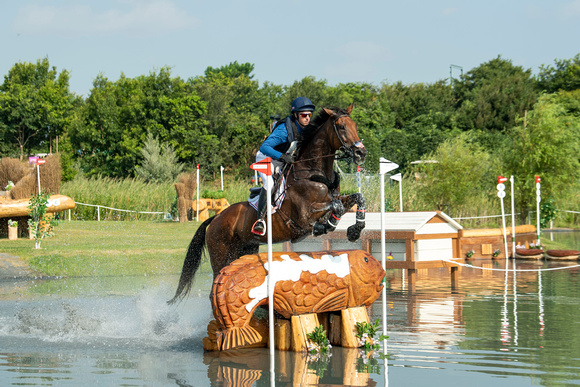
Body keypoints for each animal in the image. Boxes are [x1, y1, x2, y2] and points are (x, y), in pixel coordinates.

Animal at [168, 104, 368, 304]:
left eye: (356, 126)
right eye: (342, 127)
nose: (361, 153)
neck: (312, 171)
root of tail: (216, 218)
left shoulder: (336, 198)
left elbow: (356, 198)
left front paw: (354, 230)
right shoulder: (303, 217)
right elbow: (335, 207)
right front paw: (326, 226)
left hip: (244, 250)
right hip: (221, 255)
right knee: (214, 290)